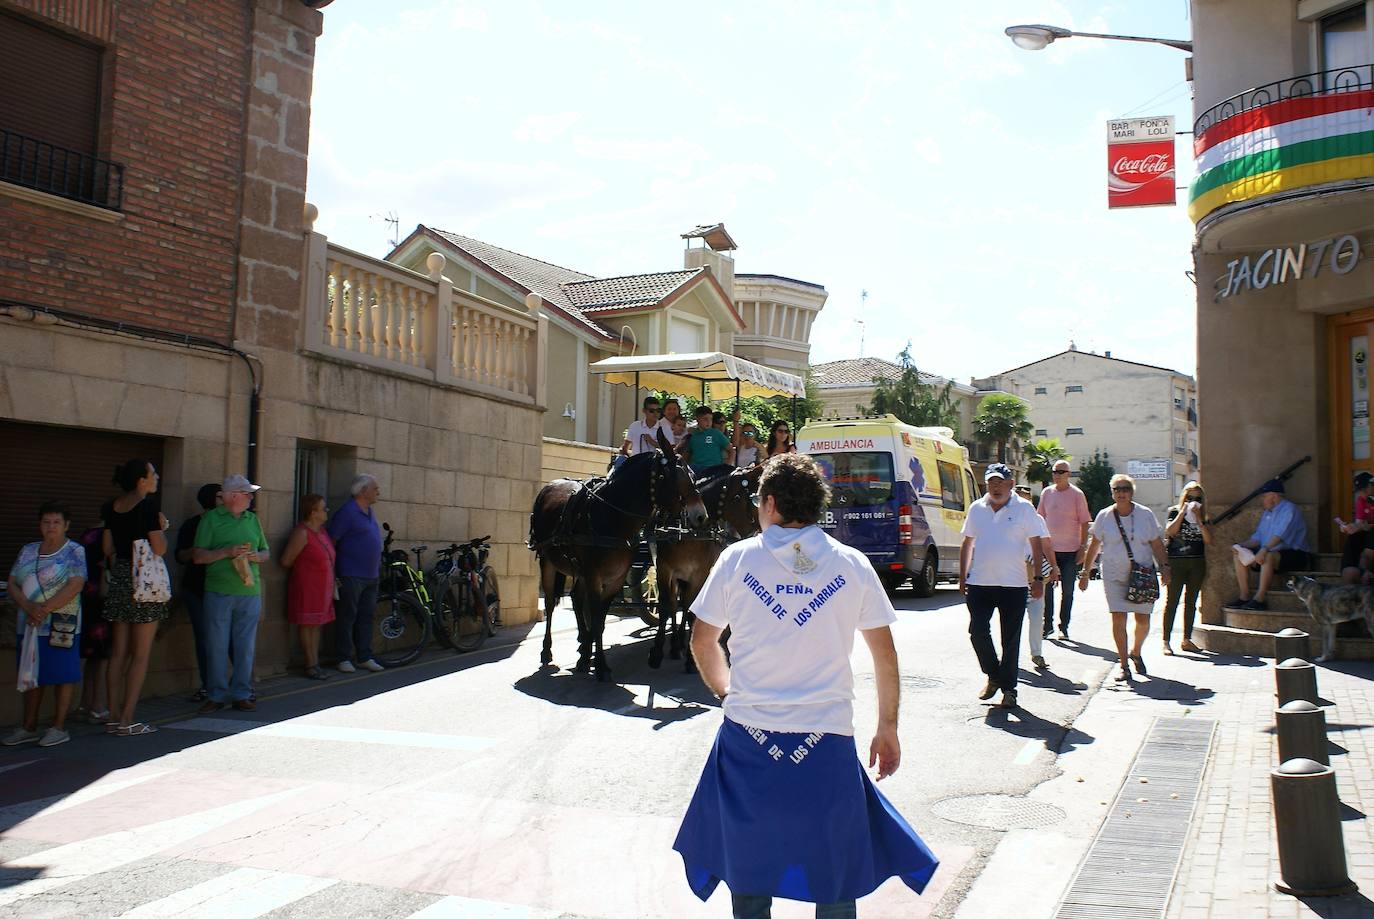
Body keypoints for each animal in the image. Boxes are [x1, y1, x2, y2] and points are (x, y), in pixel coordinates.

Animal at [522, 431, 703, 681]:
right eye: (674, 476)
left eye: (693, 475)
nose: (700, 515)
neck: (612, 517)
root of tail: (551, 484)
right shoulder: (594, 575)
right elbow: (597, 617)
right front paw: (598, 665)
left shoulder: (615, 578)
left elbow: (599, 619)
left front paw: (592, 658)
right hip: (547, 560)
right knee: (550, 604)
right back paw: (548, 650)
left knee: (577, 598)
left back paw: (583, 644)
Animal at [651, 467, 769, 667]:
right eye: (737, 497)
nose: (755, 533)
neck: (688, 531)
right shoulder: (664, 569)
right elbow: (667, 606)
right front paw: (657, 652)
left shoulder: (700, 574)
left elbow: (692, 610)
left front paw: (691, 659)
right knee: (677, 605)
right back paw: (676, 644)